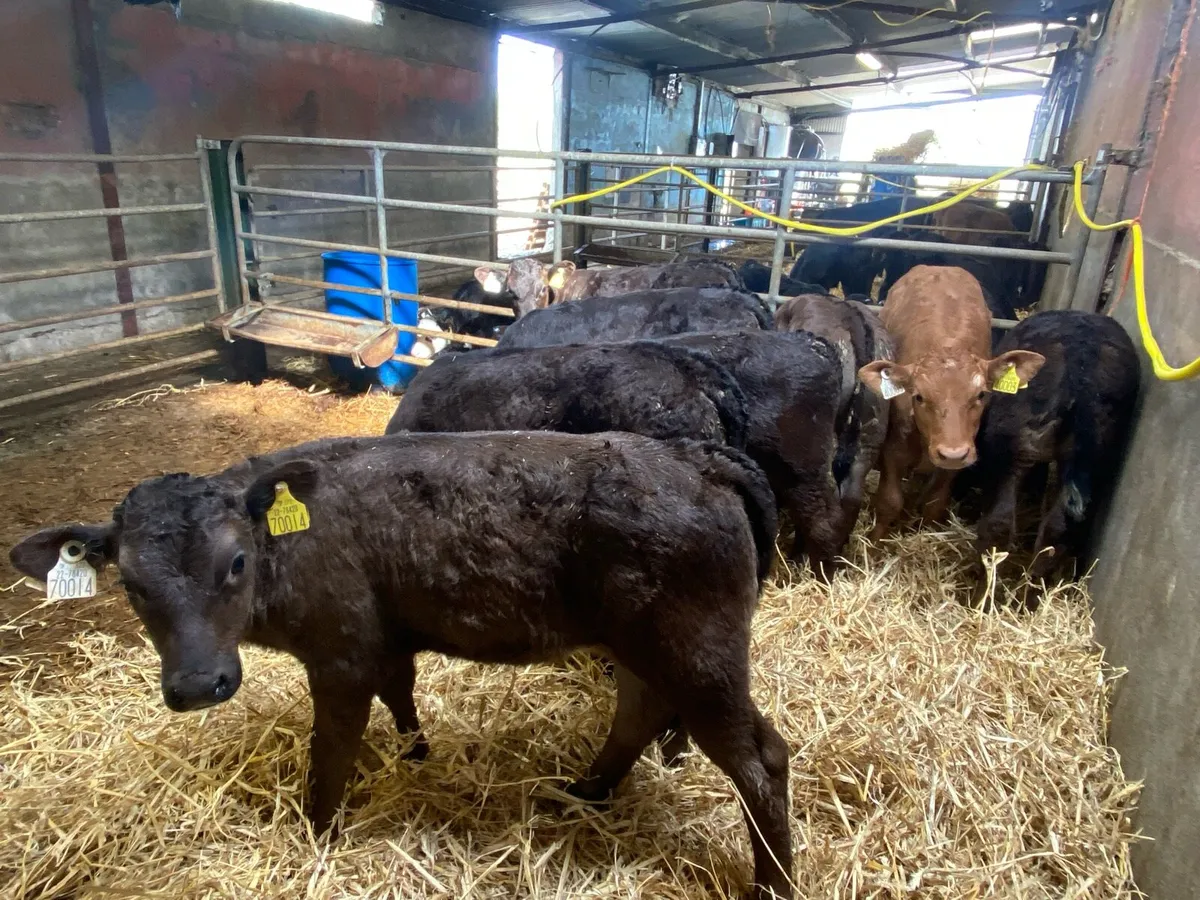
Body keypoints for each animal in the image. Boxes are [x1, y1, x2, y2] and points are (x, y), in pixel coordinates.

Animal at [9, 431, 793, 900]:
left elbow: (330, 752)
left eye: (235, 563)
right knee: (638, 710)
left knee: (762, 758)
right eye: (133, 586)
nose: (201, 684)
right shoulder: (384, 643)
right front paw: (416, 757)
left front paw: (318, 835)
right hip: (641, 645)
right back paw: (583, 791)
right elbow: (402, 697)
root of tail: (701, 459)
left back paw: (774, 882)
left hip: (698, 652)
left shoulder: (341, 655)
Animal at [857, 266, 1046, 540]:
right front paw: (875, 542)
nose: (952, 453)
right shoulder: (894, 450)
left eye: (981, 395)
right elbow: (889, 501)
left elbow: (935, 502)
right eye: (919, 396)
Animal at [970, 311, 1139, 602]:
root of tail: (1082, 365)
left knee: (999, 523)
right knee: (1055, 531)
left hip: (1011, 448)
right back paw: (1028, 601)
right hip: (1094, 455)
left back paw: (982, 598)